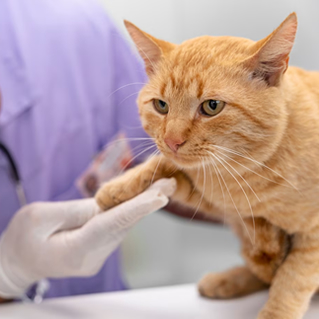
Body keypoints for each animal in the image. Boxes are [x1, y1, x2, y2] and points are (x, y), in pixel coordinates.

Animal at [95, 13, 319, 319]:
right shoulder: (219, 204)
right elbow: (162, 167)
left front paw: (275, 312)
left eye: (212, 106)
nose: (172, 140)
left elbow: (293, 279)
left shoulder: (313, 235)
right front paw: (117, 187)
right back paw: (227, 280)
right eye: (161, 106)